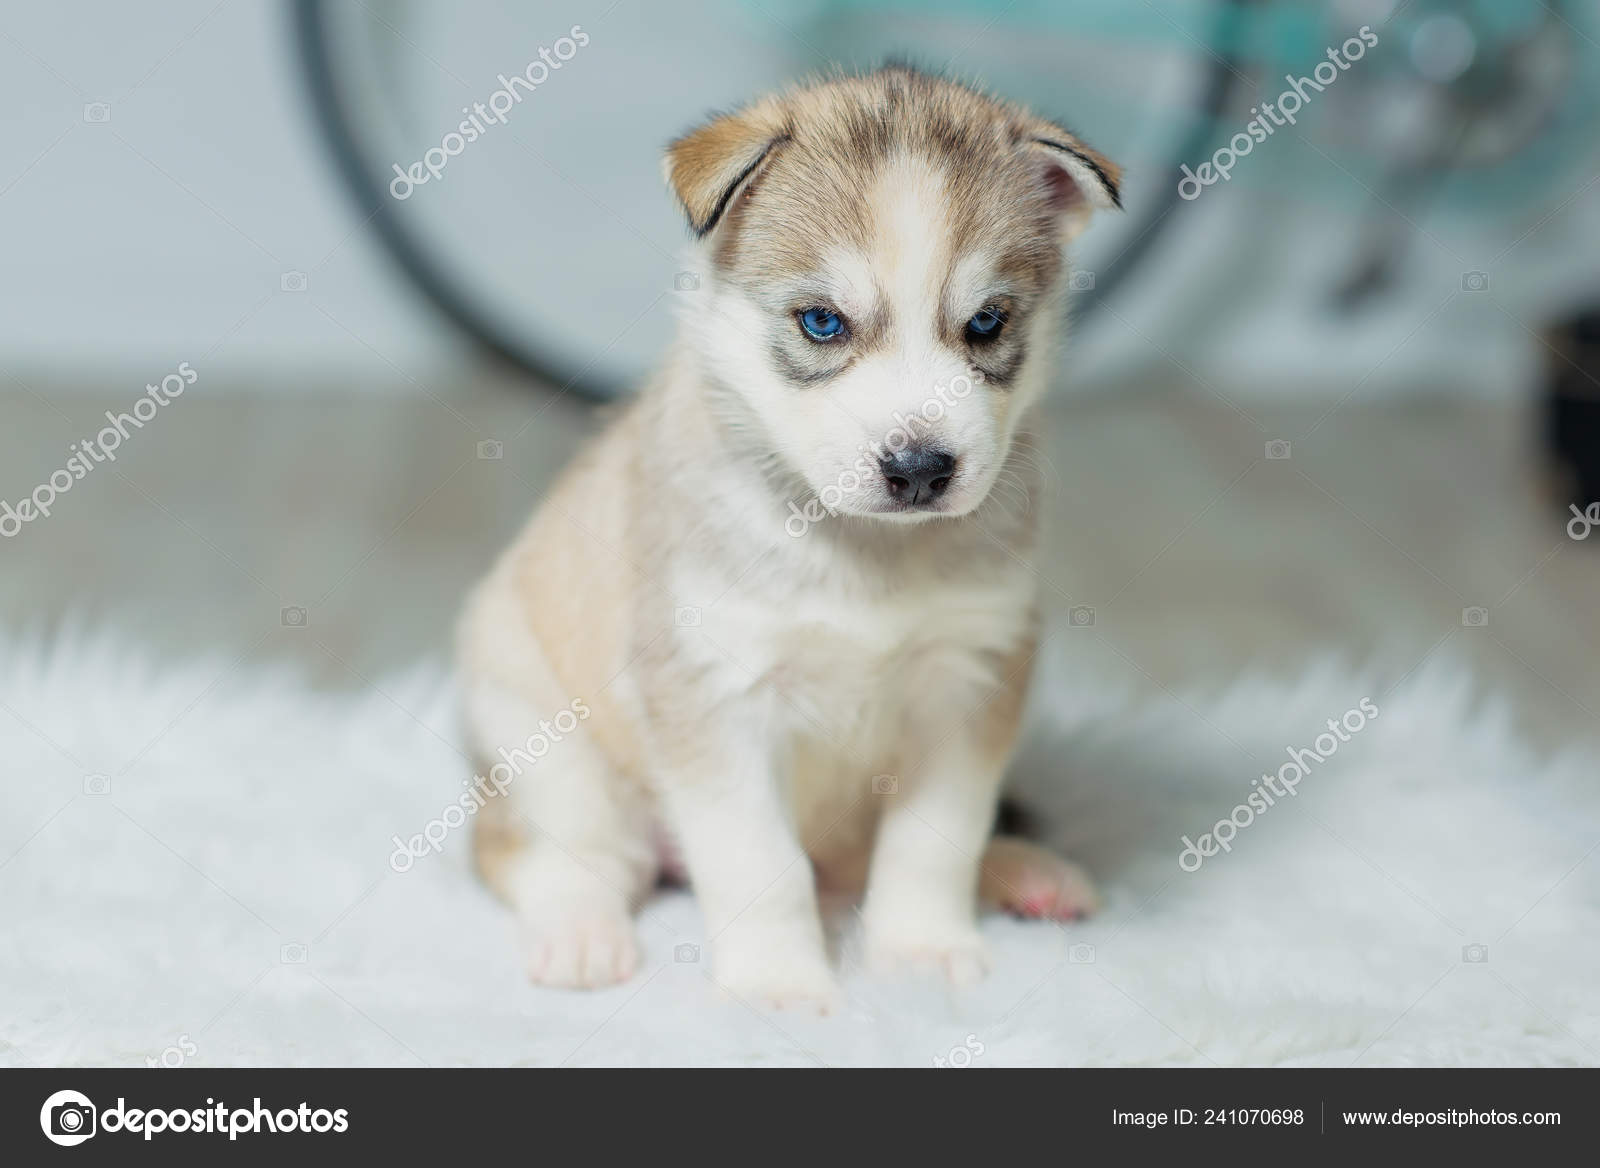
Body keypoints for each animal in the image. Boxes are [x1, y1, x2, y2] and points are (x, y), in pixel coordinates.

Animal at [457, 65, 1120, 1010]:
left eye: (987, 324)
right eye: (822, 323)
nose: (920, 468)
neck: (863, 551)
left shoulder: (966, 685)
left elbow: (936, 839)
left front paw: (920, 949)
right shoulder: (716, 697)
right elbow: (758, 863)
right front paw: (777, 987)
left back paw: (1029, 869)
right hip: (548, 748)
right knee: (542, 853)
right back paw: (580, 934)